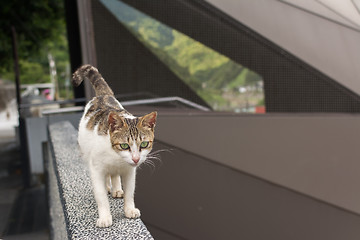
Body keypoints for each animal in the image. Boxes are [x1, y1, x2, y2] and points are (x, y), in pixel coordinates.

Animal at [72, 64, 157, 228]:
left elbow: (130, 192)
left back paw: (117, 189)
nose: (136, 159)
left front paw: (129, 209)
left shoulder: (129, 172)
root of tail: (104, 95)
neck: (116, 158)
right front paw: (105, 217)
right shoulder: (97, 169)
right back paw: (108, 187)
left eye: (144, 144)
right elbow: (100, 196)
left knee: (114, 175)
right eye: (124, 145)